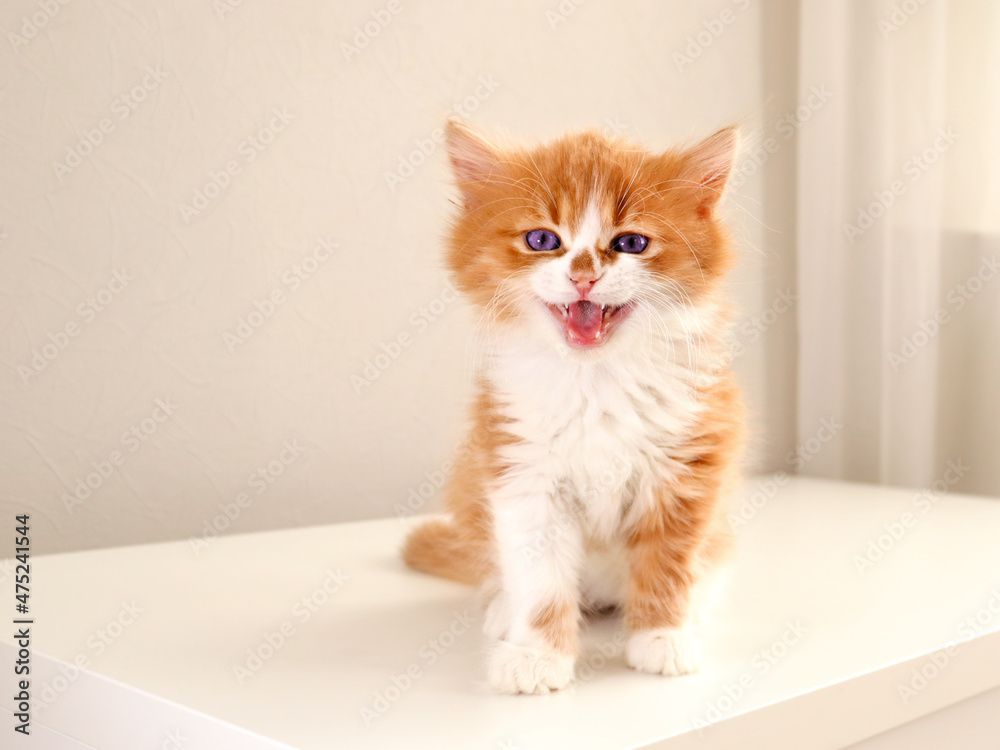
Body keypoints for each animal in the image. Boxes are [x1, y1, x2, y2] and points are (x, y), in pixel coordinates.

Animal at [402, 122, 748, 692]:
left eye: (631, 243)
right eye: (543, 240)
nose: (584, 276)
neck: (594, 381)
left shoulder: (689, 466)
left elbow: (667, 563)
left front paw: (662, 637)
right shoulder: (521, 470)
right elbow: (541, 582)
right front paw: (537, 656)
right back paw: (503, 610)